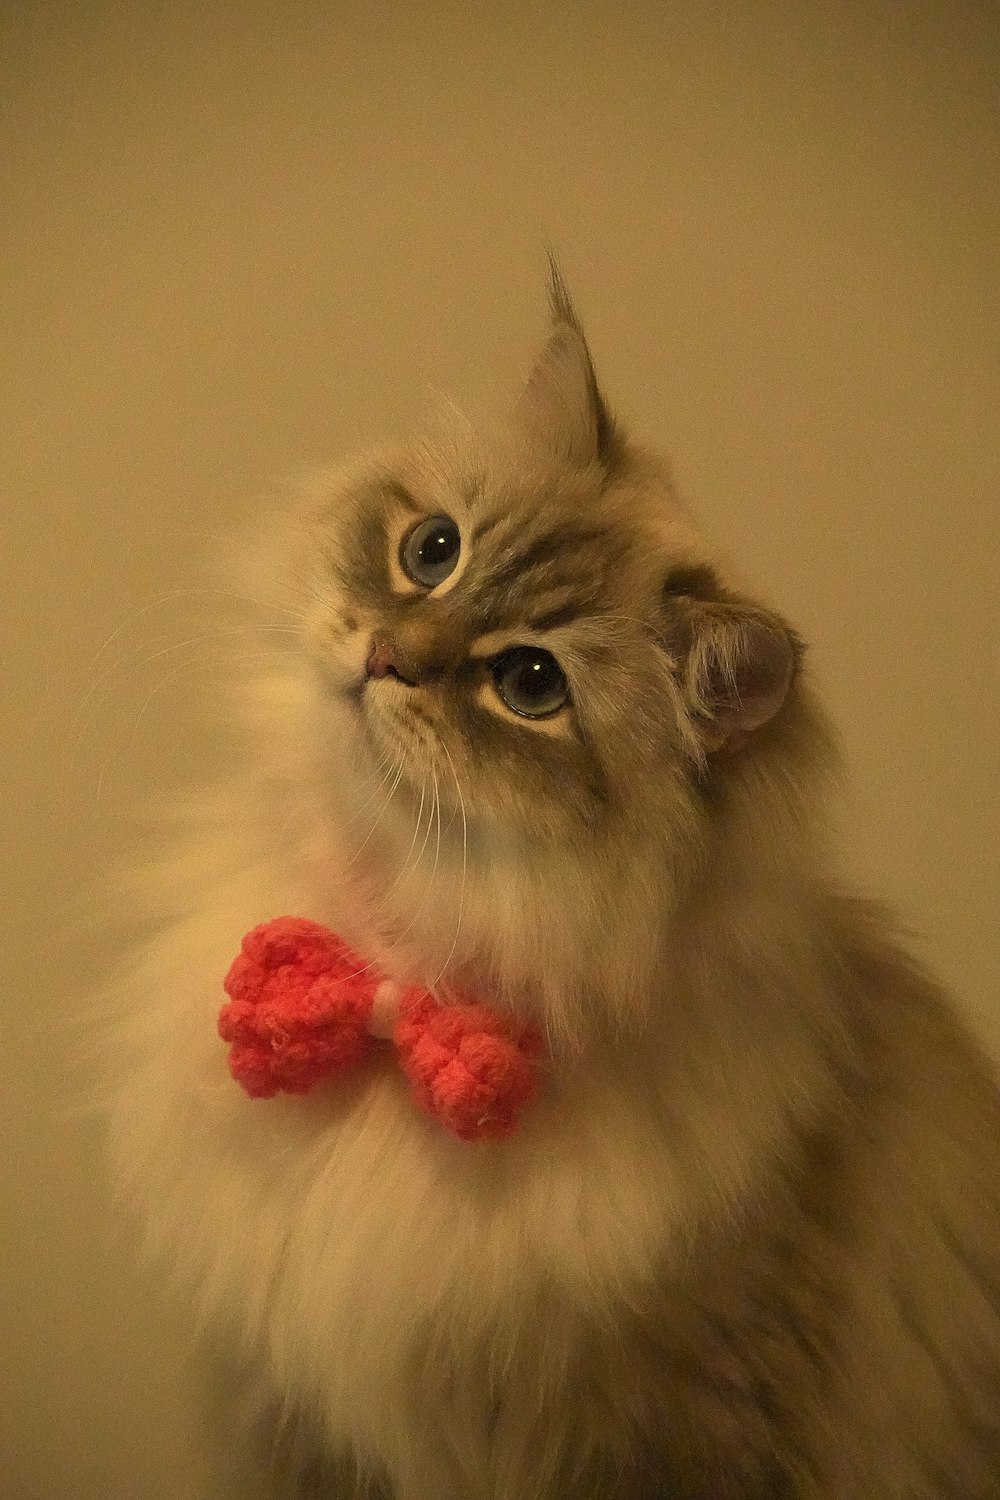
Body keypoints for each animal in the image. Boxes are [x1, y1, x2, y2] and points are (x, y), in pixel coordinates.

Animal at [101, 273, 1000, 1500]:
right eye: (432, 550)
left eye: (529, 683)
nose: (385, 655)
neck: (398, 971)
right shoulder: (304, 1424)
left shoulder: (676, 1431)